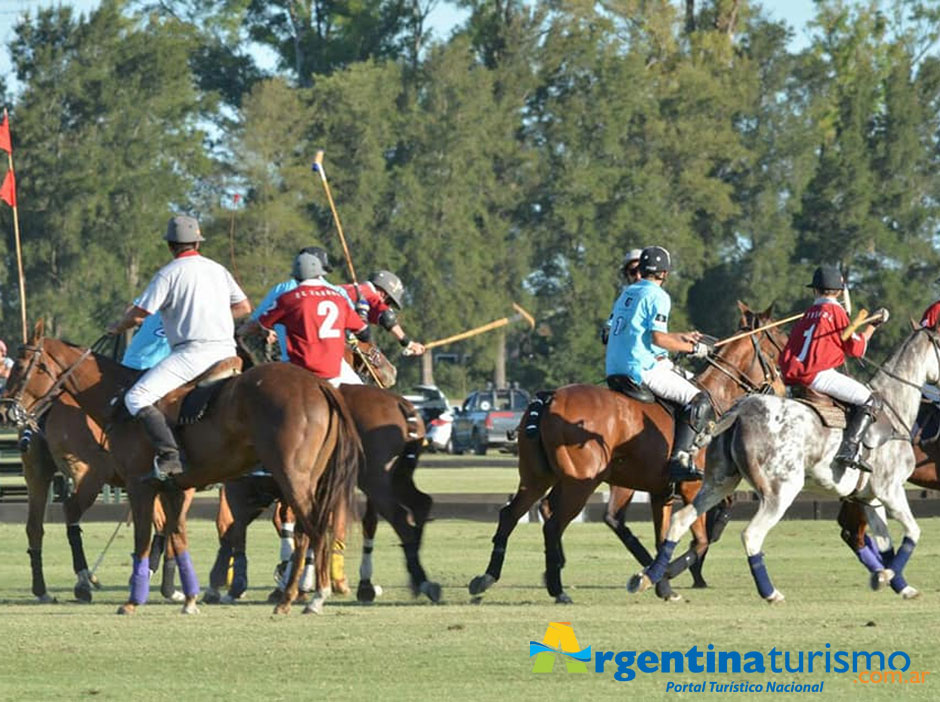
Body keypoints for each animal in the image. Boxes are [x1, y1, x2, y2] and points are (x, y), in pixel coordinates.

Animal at [0, 322, 364, 620]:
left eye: (22, 365)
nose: (7, 411)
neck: (116, 400)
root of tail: (320, 386)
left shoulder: (142, 485)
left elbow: (148, 537)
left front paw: (135, 599)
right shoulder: (174, 487)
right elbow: (177, 535)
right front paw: (190, 597)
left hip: (292, 475)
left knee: (312, 527)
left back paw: (313, 596)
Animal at [470, 302, 784, 604]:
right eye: (778, 345)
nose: (784, 389)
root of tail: (550, 398)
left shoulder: (662, 492)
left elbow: (665, 537)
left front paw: (662, 583)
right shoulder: (693, 487)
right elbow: (700, 540)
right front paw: (663, 575)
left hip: (539, 476)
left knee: (512, 514)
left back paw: (487, 578)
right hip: (581, 483)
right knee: (554, 524)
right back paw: (558, 589)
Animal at [632, 328, 940, 604]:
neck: (894, 408)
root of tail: (739, 411)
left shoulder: (870, 497)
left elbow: (887, 542)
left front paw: (901, 586)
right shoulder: (891, 489)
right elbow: (913, 531)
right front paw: (886, 576)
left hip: (718, 482)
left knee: (680, 520)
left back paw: (647, 577)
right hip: (782, 489)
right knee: (752, 534)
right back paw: (770, 593)